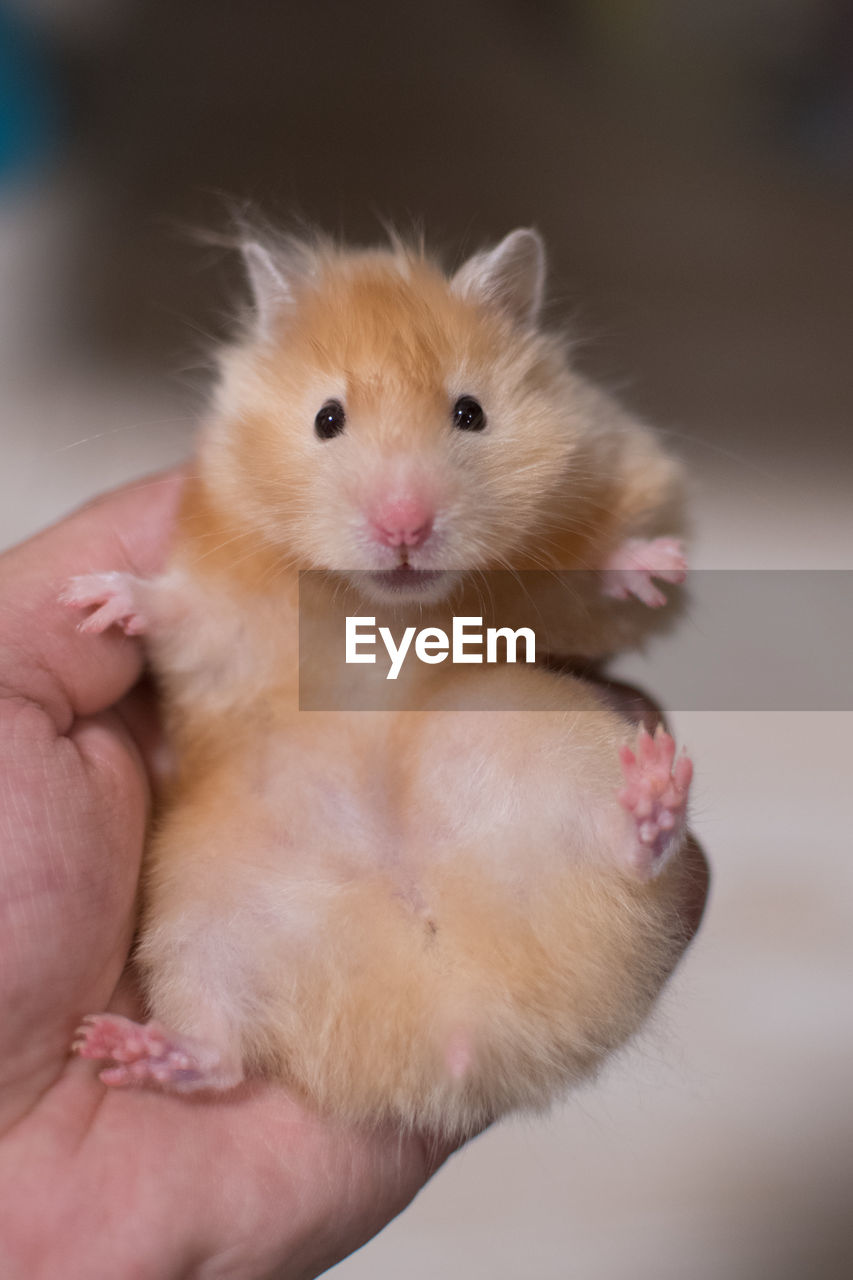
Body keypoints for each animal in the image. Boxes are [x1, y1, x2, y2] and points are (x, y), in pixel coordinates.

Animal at [64, 230, 691, 1141]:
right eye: (326, 418)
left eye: (470, 412)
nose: (405, 528)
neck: (383, 608)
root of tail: (450, 1018)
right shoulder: (224, 615)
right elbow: (179, 611)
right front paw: (90, 601)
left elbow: (590, 584)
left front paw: (652, 565)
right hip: (198, 919)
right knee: (219, 1048)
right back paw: (130, 1049)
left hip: (552, 752)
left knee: (625, 853)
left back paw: (653, 794)